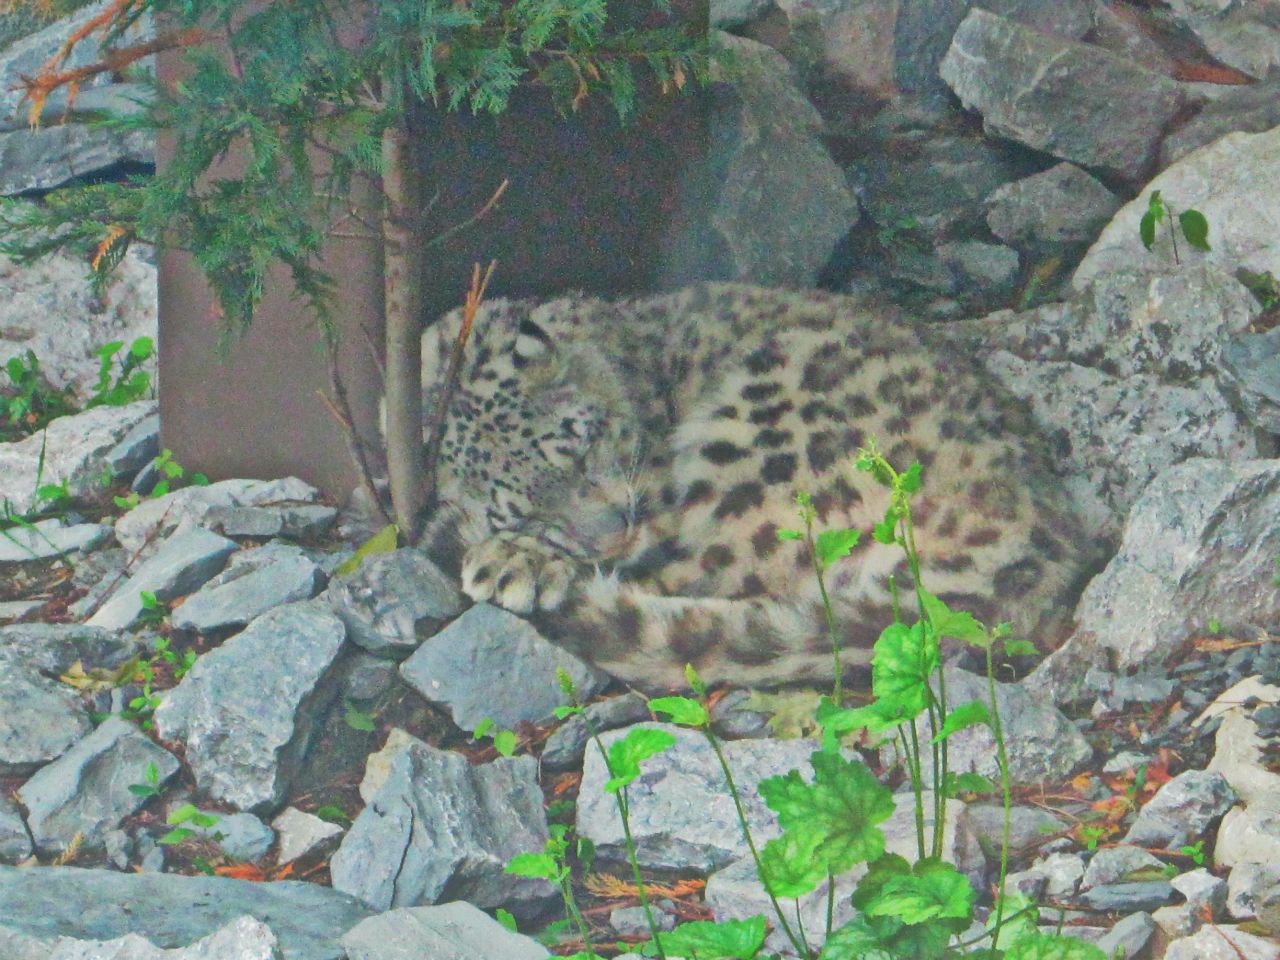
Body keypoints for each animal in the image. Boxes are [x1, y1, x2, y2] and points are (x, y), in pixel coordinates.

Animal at [417, 283, 1094, 692]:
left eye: (582, 448)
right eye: (518, 510)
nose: (610, 539)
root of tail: (1041, 550)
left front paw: (516, 558)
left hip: (752, 450)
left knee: (712, 575)